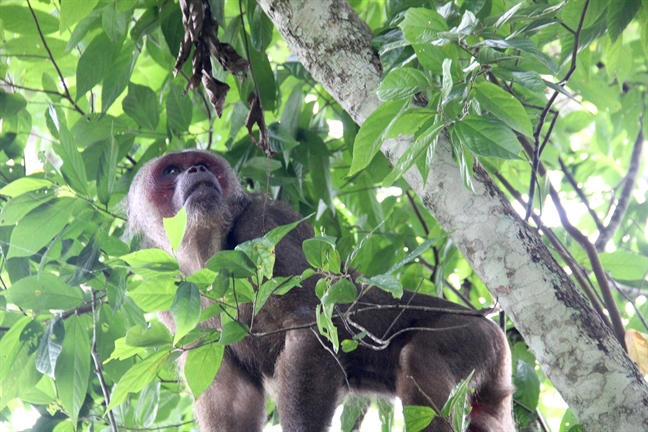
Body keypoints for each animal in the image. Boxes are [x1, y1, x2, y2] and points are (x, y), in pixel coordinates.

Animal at [125, 150, 512, 430]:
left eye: (204, 165)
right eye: (171, 172)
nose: (196, 170)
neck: (207, 255)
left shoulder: (263, 225)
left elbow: (310, 325)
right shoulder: (172, 302)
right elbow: (229, 393)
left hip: (478, 337)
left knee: (420, 358)